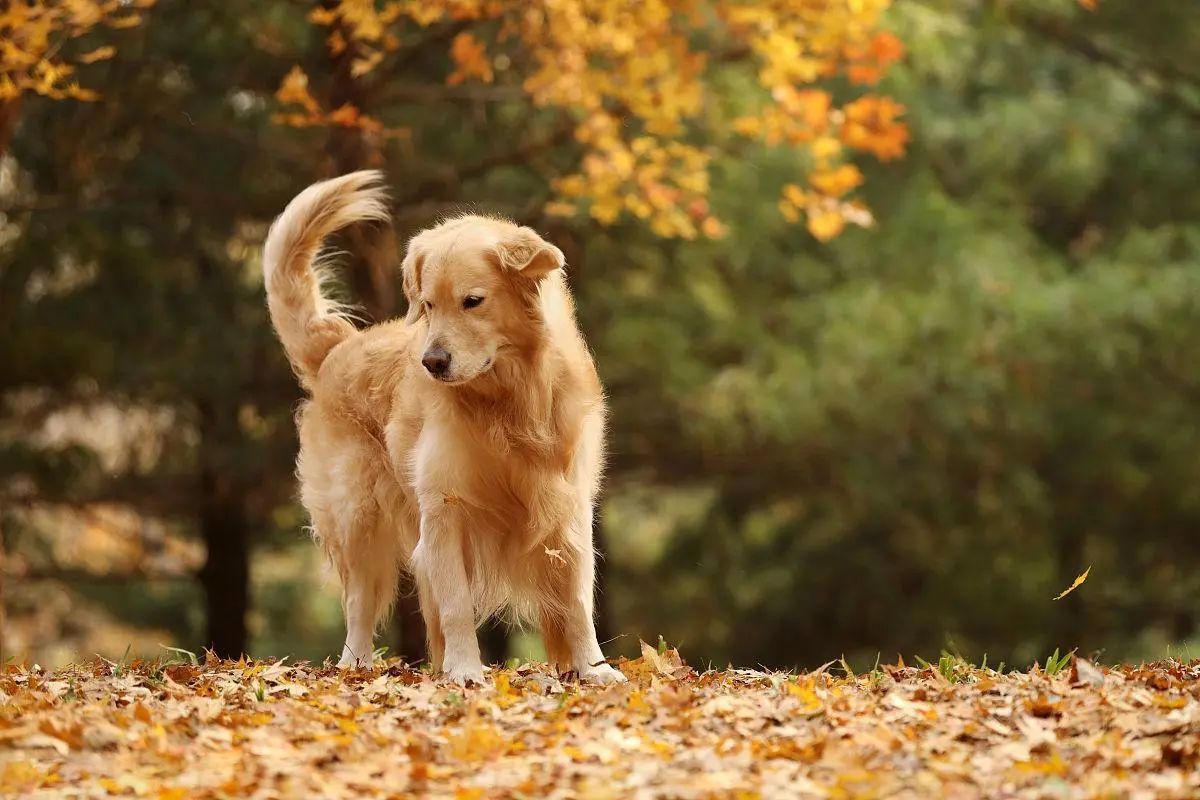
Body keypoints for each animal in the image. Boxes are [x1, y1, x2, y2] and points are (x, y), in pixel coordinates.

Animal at [264, 172, 628, 686]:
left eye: (472, 302)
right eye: (428, 304)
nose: (432, 362)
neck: (506, 403)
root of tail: (338, 348)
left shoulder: (569, 505)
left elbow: (577, 601)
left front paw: (594, 669)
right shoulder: (444, 509)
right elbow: (455, 603)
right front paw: (464, 670)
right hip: (358, 518)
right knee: (358, 603)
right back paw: (356, 666)